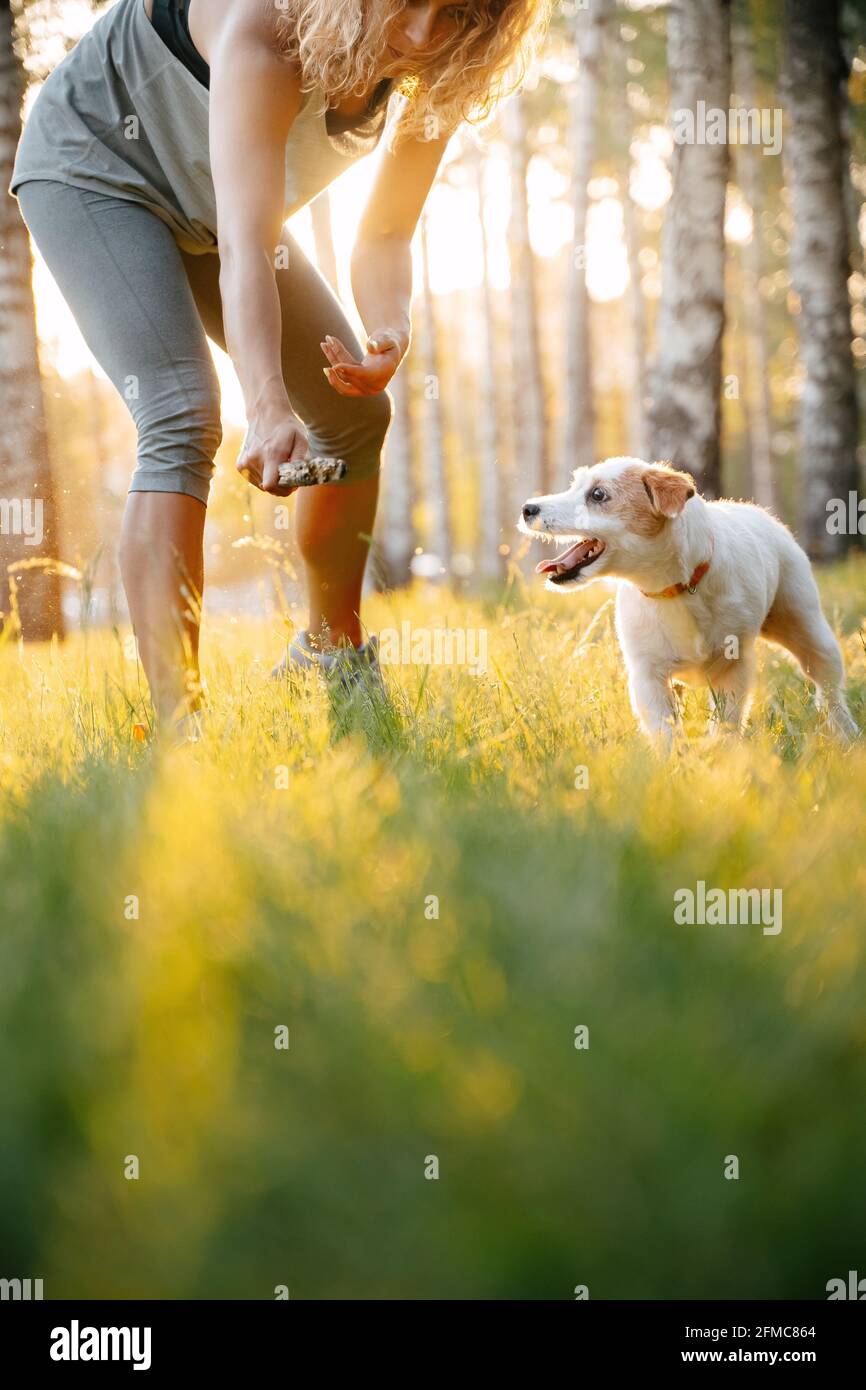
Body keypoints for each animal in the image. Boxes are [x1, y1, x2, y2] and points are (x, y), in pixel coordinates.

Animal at [517, 458, 856, 745]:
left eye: (598, 494)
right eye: (575, 484)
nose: (527, 508)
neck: (672, 590)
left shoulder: (733, 668)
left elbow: (727, 723)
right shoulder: (647, 676)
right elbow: (665, 731)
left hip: (808, 629)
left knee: (828, 686)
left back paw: (846, 733)